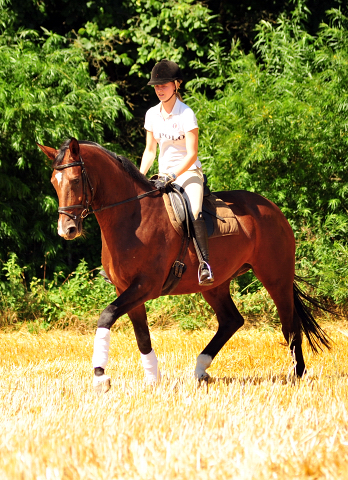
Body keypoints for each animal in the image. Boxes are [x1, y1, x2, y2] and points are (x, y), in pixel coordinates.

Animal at [36, 137, 330, 392]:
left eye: (75, 180)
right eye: (53, 182)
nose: (67, 229)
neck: (132, 217)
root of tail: (272, 208)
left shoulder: (146, 286)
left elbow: (106, 315)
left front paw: (100, 377)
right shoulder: (126, 289)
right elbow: (142, 336)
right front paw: (152, 379)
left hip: (275, 276)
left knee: (289, 324)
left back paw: (298, 374)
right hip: (215, 285)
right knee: (231, 320)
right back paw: (201, 369)